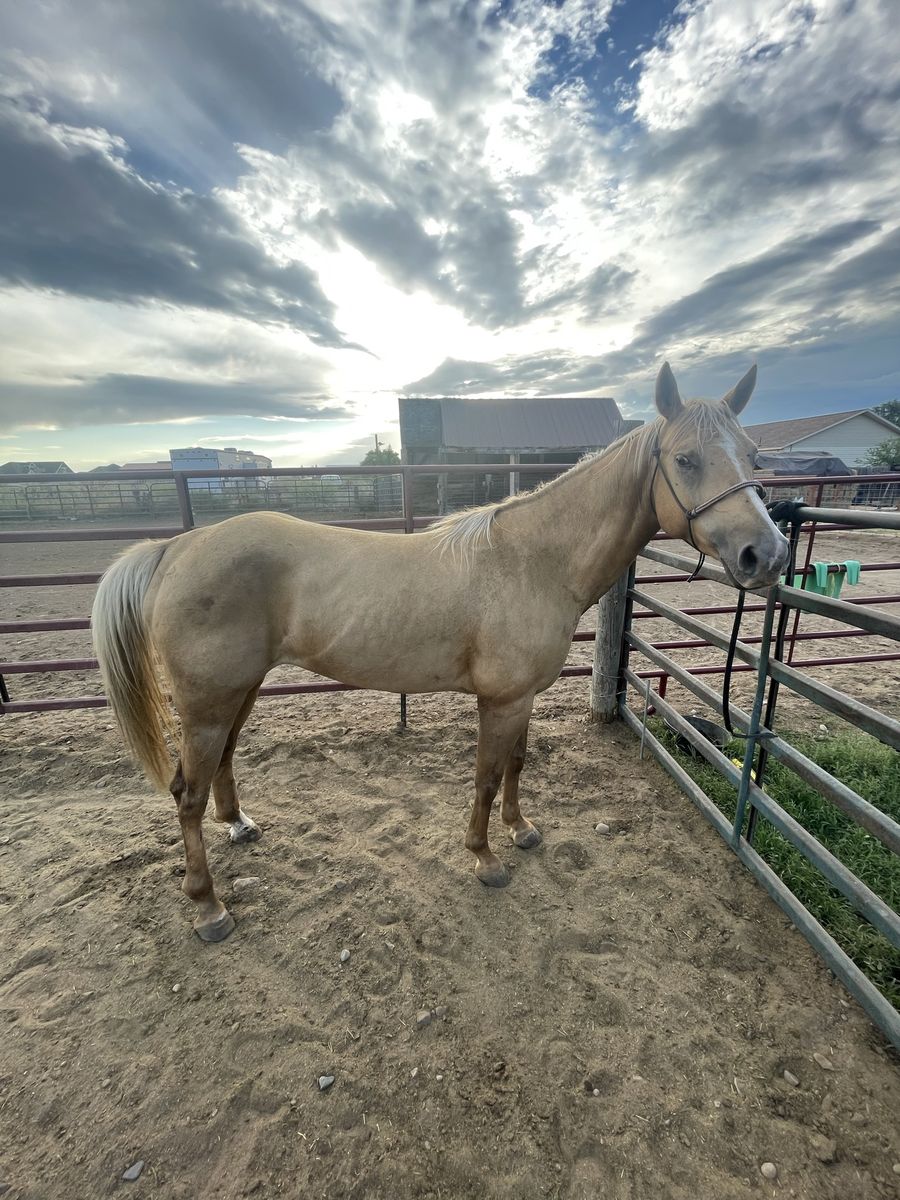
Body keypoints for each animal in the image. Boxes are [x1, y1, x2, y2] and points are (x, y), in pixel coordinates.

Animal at [91, 362, 789, 942]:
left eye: (753, 454)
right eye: (687, 458)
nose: (768, 554)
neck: (535, 561)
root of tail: (178, 548)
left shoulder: (522, 698)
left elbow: (516, 766)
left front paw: (521, 832)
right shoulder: (499, 700)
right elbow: (485, 775)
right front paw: (485, 858)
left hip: (239, 691)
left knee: (219, 769)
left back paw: (239, 826)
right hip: (208, 703)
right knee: (186, 795)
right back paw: (208, 907)